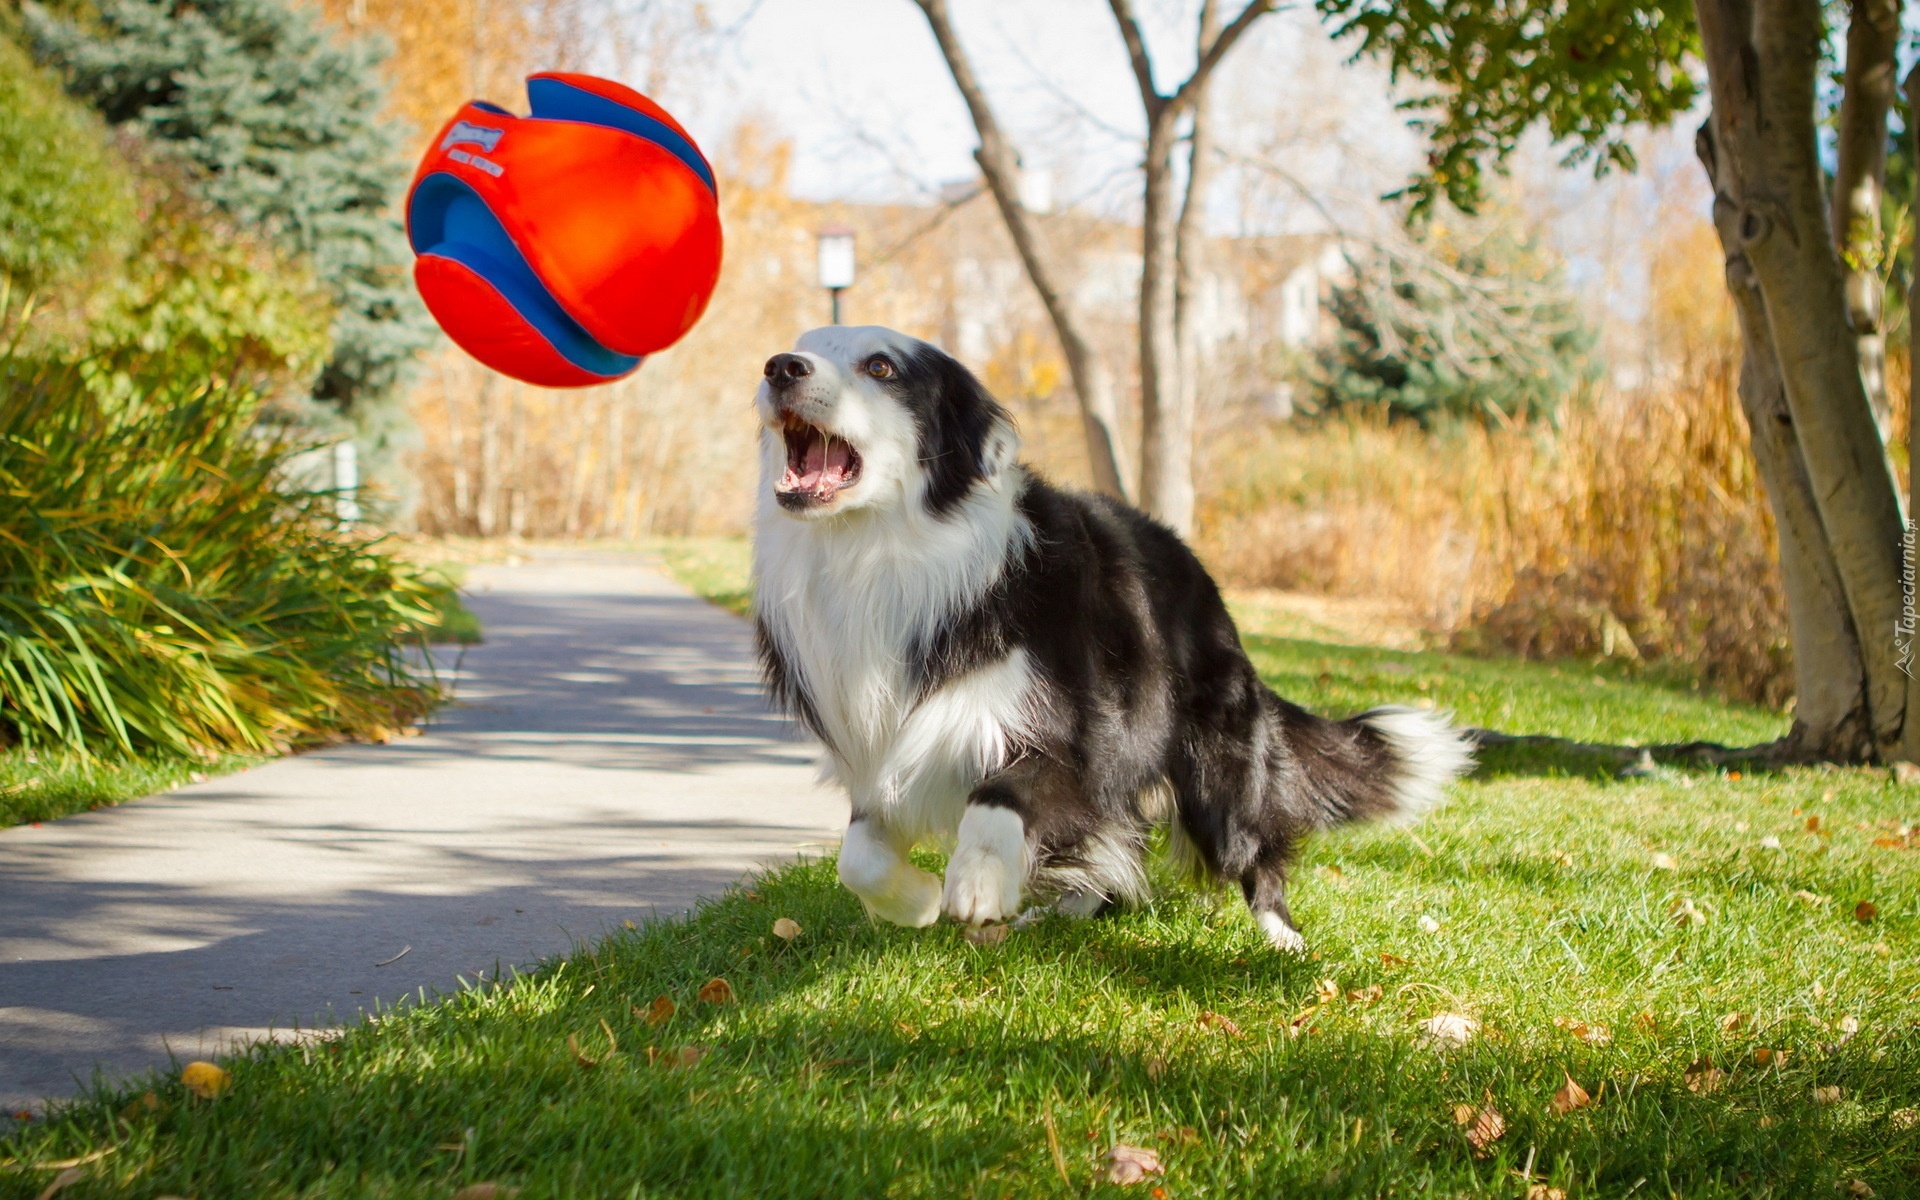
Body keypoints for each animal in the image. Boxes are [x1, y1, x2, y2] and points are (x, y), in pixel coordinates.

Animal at [748, 324, 1466, 944]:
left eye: (881, 367)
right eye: (806, 345)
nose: (780, 366)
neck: (881, 551)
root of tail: (1202, 577)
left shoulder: (1072, 736)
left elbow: (1000, 796)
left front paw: (978, 878)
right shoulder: (879, 750)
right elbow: (857, 858)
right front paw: (917, 901)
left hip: (1216, 775)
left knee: (1251, 851)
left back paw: (1284, 941)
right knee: (1117, 846)